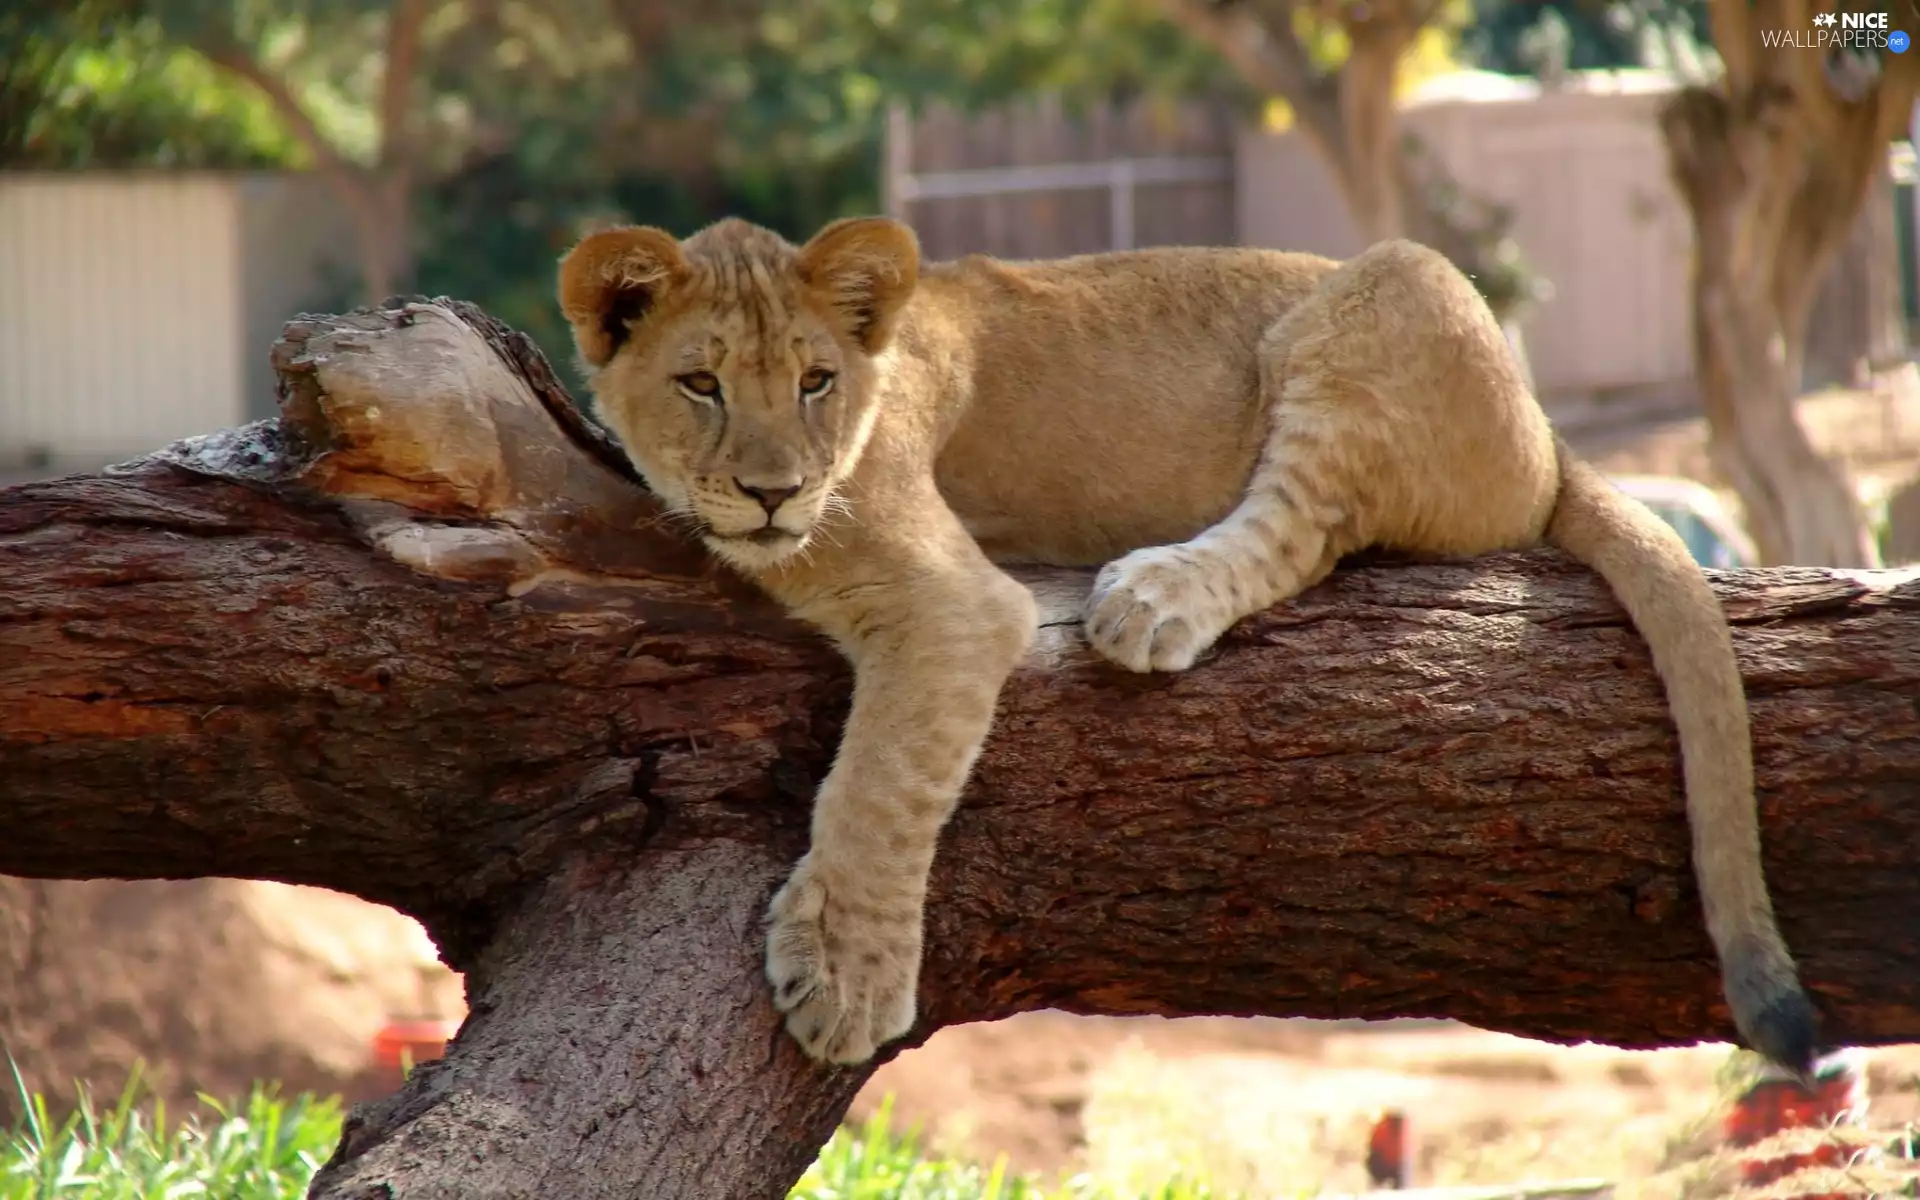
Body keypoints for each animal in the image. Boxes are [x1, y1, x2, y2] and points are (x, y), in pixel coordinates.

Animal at [556, 215, 1817, 1076]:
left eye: (816, 381)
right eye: (701, 384)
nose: (774, 494)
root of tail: (1552, 440)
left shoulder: (957, 600)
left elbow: (881, 781)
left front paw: (845, 978)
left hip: (1381, 294)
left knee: (1304, 527)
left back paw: (1153, 598)